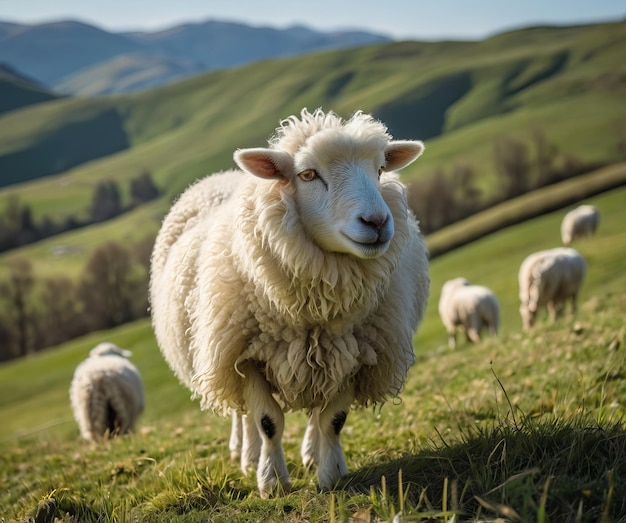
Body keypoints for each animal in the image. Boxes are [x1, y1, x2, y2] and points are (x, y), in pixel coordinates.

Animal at [149, 108, 428, 498]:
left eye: (379, 170)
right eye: (308, 174)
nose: (376, 222)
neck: (314, 310)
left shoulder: (357, 351)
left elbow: (333, 420)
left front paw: (330, 475)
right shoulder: (245, 354)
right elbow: (267, 421)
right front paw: (271, 480)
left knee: (316, 412)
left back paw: (312, 453)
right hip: (220, 348)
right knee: (243, 414)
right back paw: (248, 455)